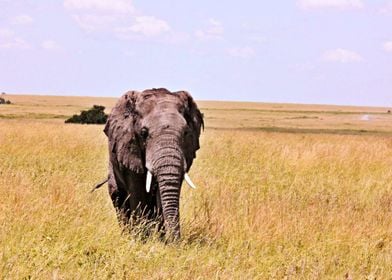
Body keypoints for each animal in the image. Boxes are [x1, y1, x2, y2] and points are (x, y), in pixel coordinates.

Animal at [102, 88, 204, 241]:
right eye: (143, 132)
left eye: (186, 132)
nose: (177, 243)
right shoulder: (130, 149)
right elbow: (138, 193)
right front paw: (141, 240)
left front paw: (161, 241)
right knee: (119, 199)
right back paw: (127, 235)